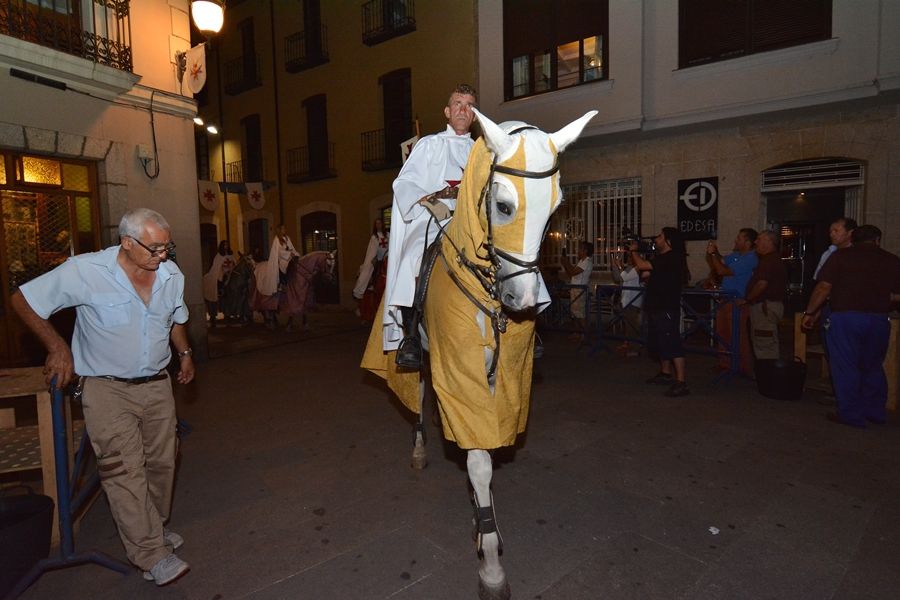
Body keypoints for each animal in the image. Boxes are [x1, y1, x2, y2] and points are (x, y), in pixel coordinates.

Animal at [362, 108, 596, 599]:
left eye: (555, 208)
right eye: (504, 206)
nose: (521, 299)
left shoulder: (501, 374)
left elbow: (484, 447)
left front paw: (479, 513)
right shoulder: (459, 366)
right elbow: (478, 459)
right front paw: (490, 561)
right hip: (423, 357)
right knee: (421, 395)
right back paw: (419, 447)